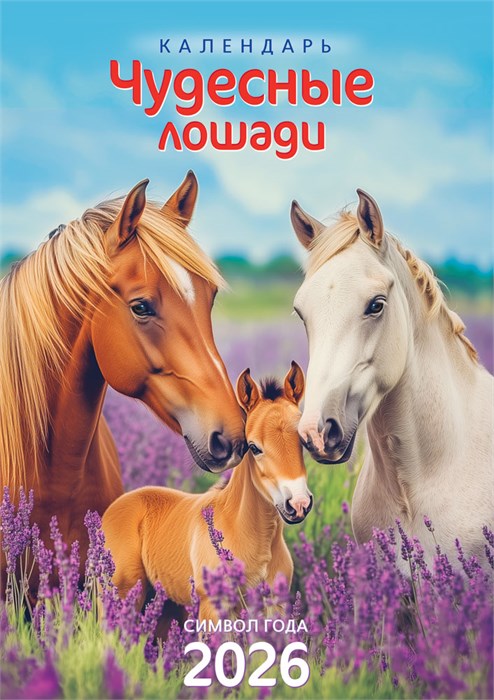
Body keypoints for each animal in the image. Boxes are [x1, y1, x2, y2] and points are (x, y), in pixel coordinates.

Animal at [102, 362, 312, 623]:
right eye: (254, 447)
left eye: (303, 441)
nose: (299, 503)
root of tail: (116, 504)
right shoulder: (212, 607)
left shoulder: (276, 606)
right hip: (121, 593)